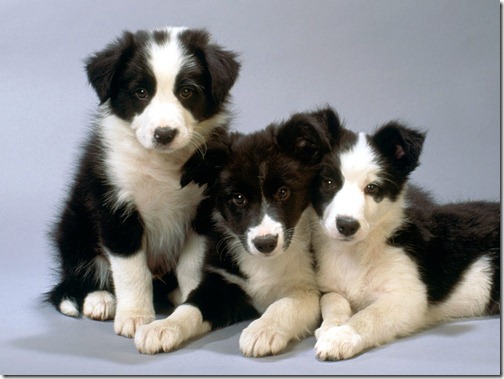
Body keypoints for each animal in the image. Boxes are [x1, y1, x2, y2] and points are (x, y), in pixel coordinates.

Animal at [45, 26, 240, 338]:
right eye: (141, 92)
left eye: (187, 91)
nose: (164, 134)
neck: (162, 162)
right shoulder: (116, 207)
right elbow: (131, 269)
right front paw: (135, 317)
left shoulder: (203, 210)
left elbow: (192, 263)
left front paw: (191, 299)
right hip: (74, 225)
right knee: (81, 272)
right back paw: (99, 300)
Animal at [134, 108, 340, 358]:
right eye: (238, 198)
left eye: (283, 192)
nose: (265, 243)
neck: (265, 263)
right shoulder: (221, 283)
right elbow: (191, 307)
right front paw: (162, 327)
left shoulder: (308, 289)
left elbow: (283, 305)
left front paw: (262, 330)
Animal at [312, 108, 500, 360]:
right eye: (329, 183)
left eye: (372, 188)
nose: (346, 226)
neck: (358, 251)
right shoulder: (330, 286)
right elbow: (333, 301)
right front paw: (330, 327)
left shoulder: (408, 296)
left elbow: (368, 316)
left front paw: (340, 338)